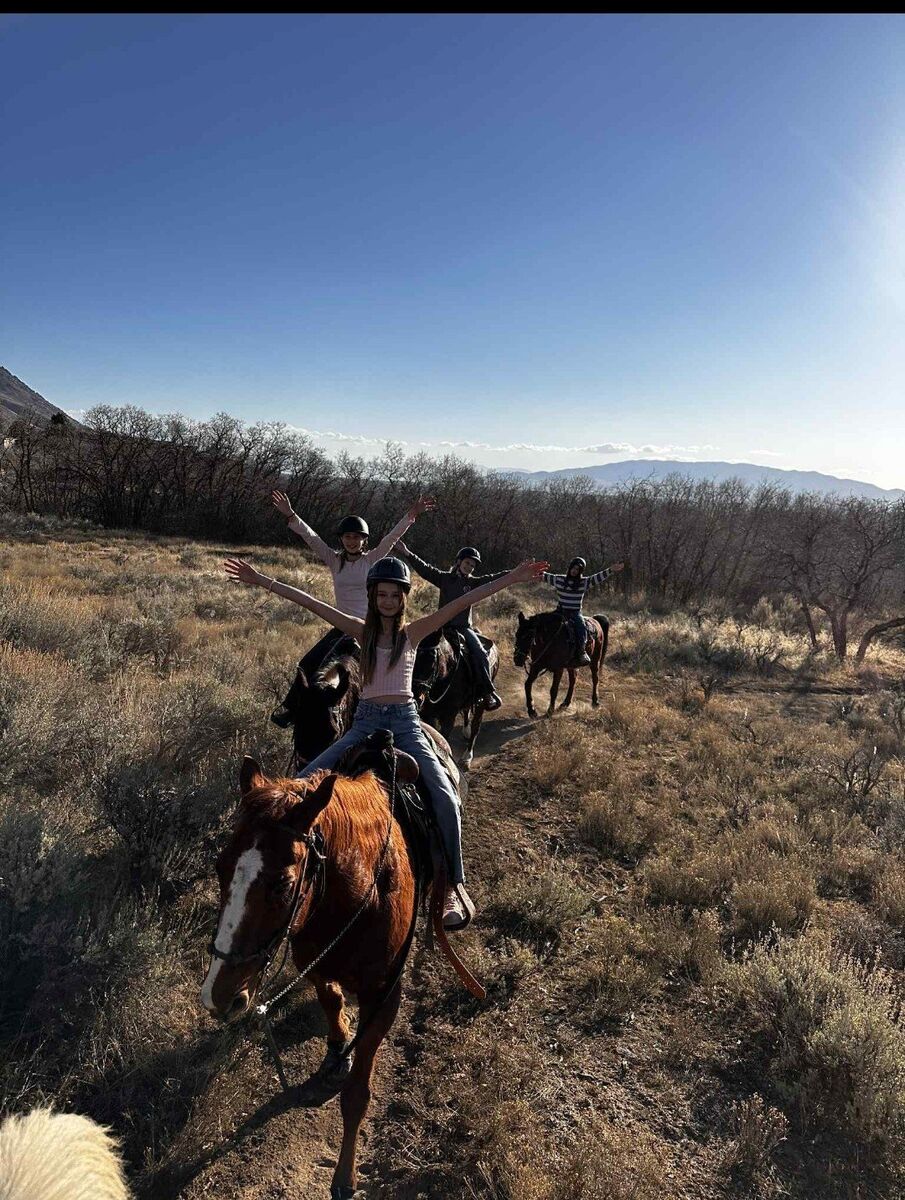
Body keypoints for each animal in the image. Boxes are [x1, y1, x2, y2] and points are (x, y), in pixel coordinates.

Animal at [200, 744, 464, 1200]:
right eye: (220, 867)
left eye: (282, 883)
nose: (218, 995)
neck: (362, 893)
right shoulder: (317, 965)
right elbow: (332, 1001)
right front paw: (337, 1047)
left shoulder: (383, 997)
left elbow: (356, 1094)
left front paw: (345, 1176)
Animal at [415, 629, 500, 771]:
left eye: (432, 659)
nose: (416, 695)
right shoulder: (428, 715)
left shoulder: (448, 716)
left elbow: (443, 738)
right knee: (466, 711)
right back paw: (466, 731)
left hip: (482, 702)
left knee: (476, 726)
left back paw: (467, 758)